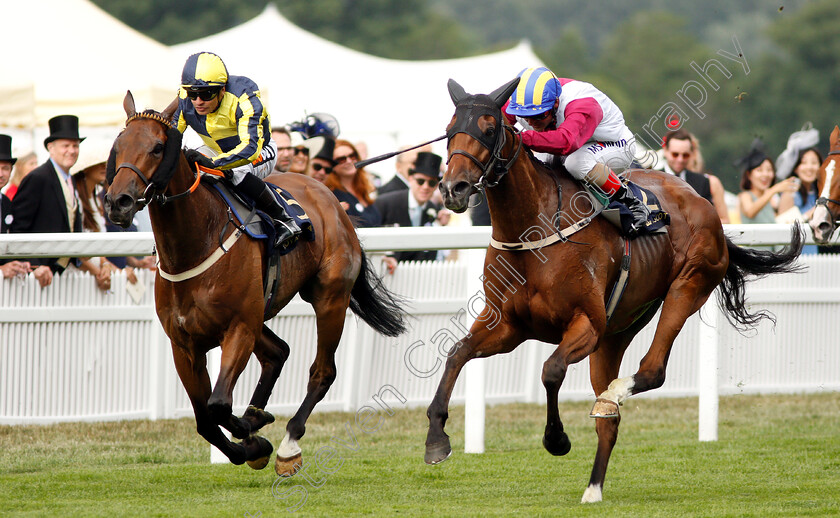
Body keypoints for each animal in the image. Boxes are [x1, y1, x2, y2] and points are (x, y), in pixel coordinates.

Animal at [105, 92, 406, 476]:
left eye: (158, 148)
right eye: (118, 146)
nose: (118, 202)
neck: (196, 243)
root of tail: (331, 197)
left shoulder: (239, 329)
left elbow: (218, 404)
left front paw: (253, 434)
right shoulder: (184, 343)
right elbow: (205, 420)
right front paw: (251, 442)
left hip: (329, 298)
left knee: (322, 371)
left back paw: (289, 444)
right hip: (260, 312)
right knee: (278, 353)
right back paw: (256, 417)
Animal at [424, 79, 804, 506]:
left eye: (489, 129)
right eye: (449, 127)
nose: (452, 188)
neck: (533, 230)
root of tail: (704, 203)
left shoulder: (585, 324)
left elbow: (551, 370)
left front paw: (556, 439)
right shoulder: (507, 326)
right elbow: (457, 354)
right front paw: (436, 438)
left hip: (687, 285)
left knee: (652, 370)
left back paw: (616, 394)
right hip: (616, 332)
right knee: (611, 418)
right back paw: (593, 486)